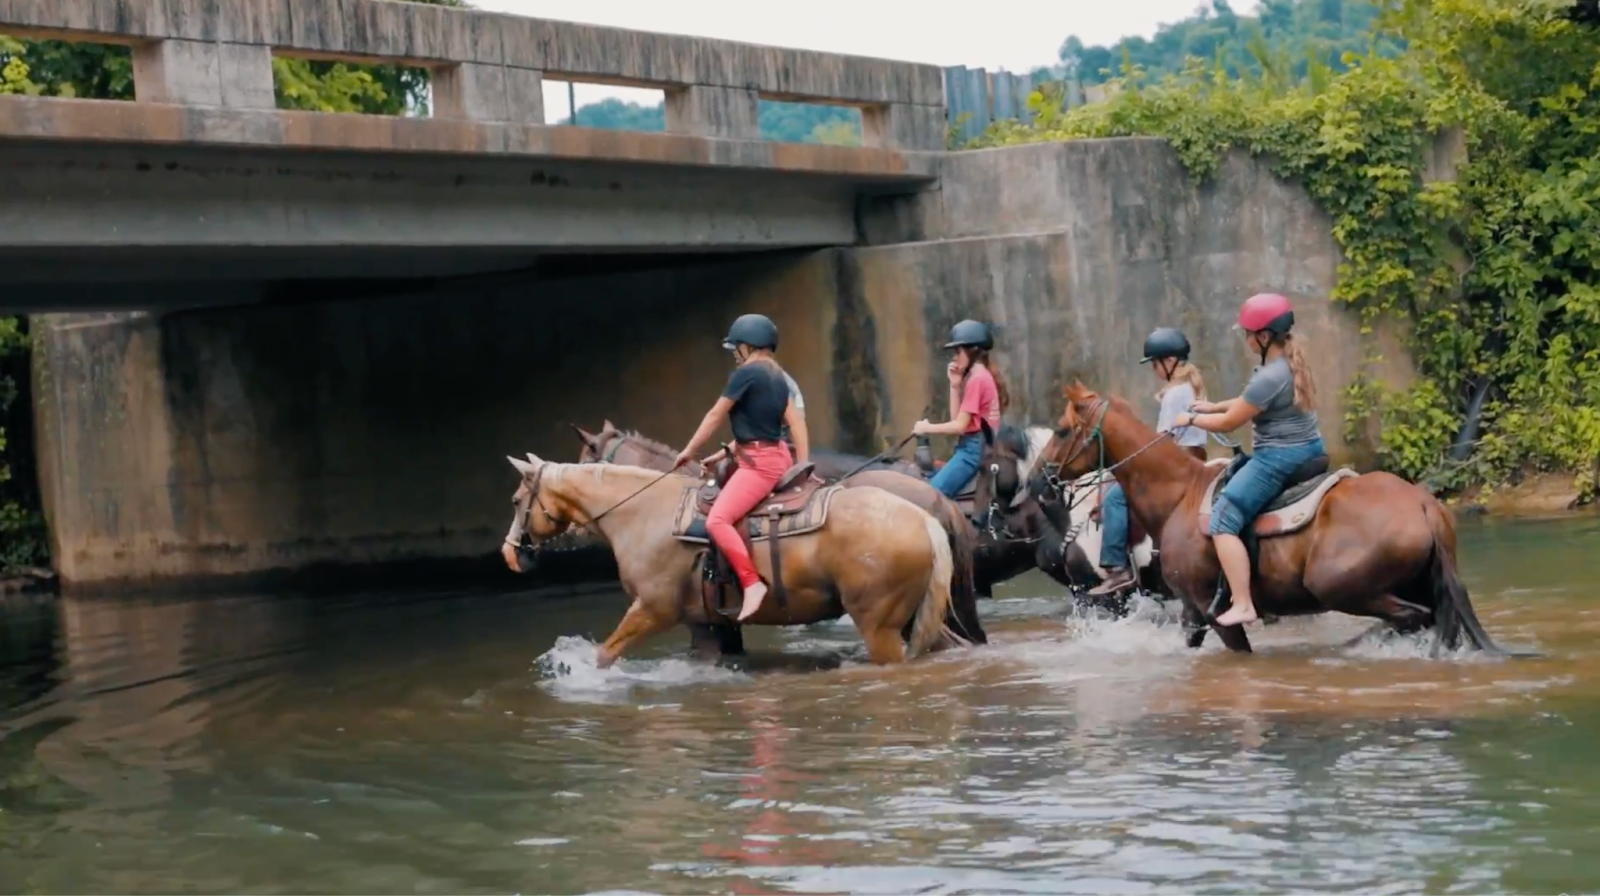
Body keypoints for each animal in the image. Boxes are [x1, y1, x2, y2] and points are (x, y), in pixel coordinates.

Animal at [502, 456, 958, 666]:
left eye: (516, 500)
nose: (510, 554)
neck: (642, 512)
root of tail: (923, 519)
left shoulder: (652, 610)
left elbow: (605, 654)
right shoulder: (705, 624)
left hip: (880, 628)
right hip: (916, 619)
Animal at [1034, 382, 1503, 654]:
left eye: (1061, 430)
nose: (1040, 480)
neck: (1178, 494)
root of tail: (1425, 505)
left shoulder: (1211, 610)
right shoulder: (1191, 611)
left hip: (1343, 589)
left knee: (1412, 619)